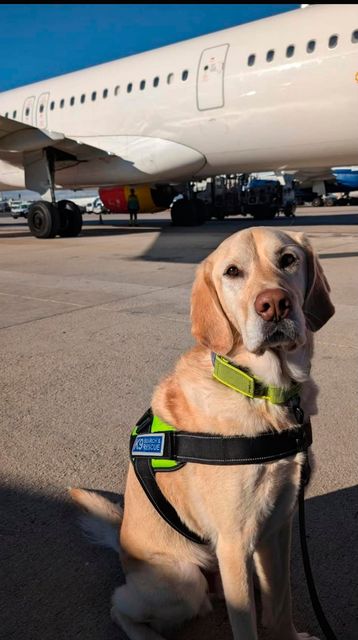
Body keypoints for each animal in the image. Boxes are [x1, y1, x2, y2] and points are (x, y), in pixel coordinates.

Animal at [71, 228, 334, 636]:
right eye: (232, 272)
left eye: (288, 259)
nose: (274, 304)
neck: (261, 392)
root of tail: (122, 545)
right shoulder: (234, 542)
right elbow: (247, 626)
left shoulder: (279, 527)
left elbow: (281, 603)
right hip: (184, 580)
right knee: (119, 606)